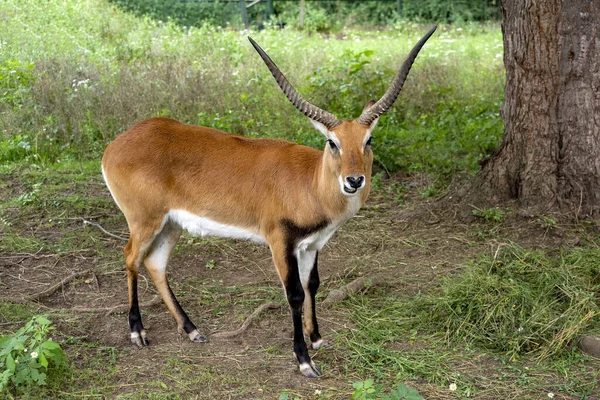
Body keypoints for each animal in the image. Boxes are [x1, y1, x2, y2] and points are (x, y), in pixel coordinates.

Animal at [101, 26, 434, 376]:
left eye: (368, 140)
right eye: (332, 142)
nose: (354, 180)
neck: (309, 183)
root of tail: (116, 144)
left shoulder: (311, 245)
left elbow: (313, 284)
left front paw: (317, 339)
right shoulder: (280, 242)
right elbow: (295, 294)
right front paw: (304, 360)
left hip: (171, 224)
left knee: (155, 264)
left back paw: (192, 330)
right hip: (144, 220)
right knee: (130, 257)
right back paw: (137, 332)